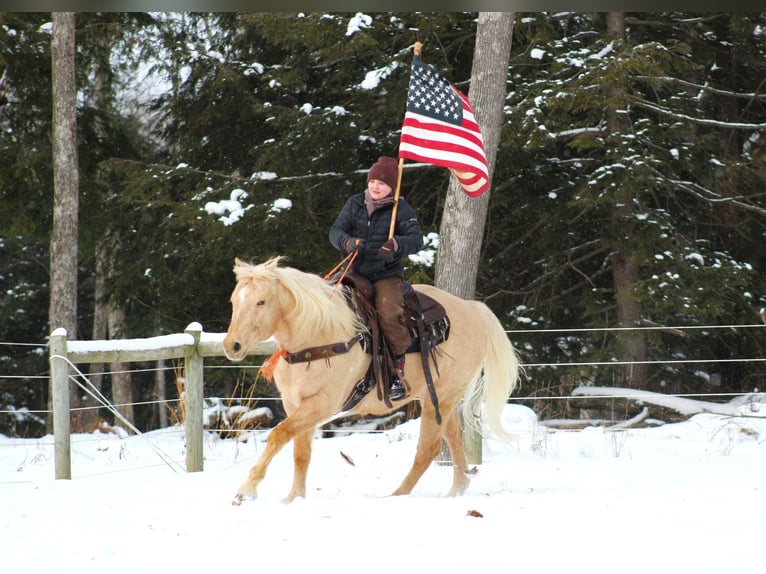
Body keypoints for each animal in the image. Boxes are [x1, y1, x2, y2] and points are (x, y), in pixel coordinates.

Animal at [222, 258, 520, 506]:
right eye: (234, 301)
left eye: (261, 302)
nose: (232, 346)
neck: (318, 336)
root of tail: (472, 308)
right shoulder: (295, 403)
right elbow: (301, 452)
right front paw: (294, 498)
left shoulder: (322, 404)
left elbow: (278, 435)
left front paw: (246, 490)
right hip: (437, 397)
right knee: (454, 438)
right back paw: (457, 489)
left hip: (443, 396)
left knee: (428, 449)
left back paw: (397, 495)